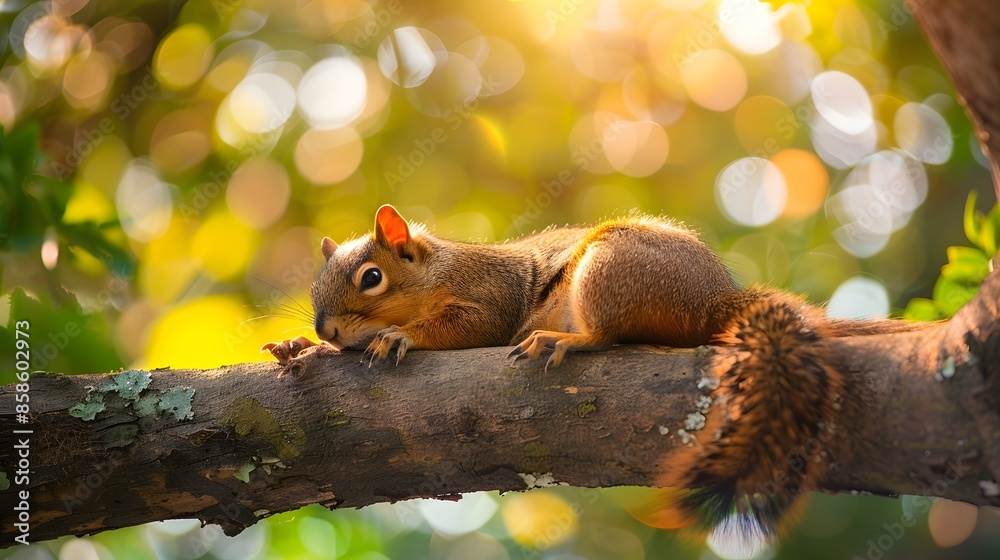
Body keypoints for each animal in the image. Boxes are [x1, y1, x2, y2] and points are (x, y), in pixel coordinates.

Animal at [263, 204, 930, 546]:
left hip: (609, 269)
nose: (326, 328)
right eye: (317, 288)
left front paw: (400, 335)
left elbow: (464, 327)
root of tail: (713, 304)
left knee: (608, 334)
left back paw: (566, 337)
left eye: (372, 277)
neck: (438, 270)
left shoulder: (490, 298)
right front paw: (302, 347)